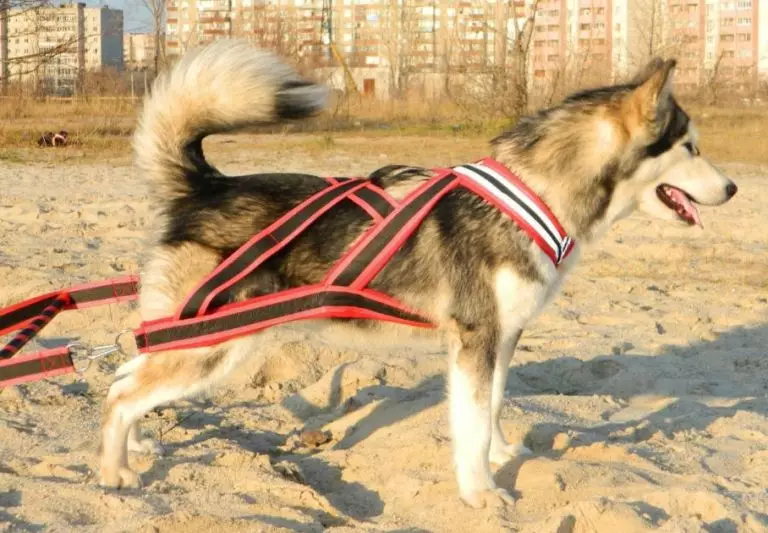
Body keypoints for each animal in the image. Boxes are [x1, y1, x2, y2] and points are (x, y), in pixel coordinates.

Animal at [97, 39, 736, 504]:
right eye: (691, 147)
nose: (731, 188)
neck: (537, 195)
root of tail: (208, 185)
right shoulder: (475, 340)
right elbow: (470, 425)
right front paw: (482, 495)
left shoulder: (501, 339)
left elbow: (493, 407)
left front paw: (501, 458)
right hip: (213, 345)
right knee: (121, 393)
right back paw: (113, 473)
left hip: (190, 337)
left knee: (127, 374)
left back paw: (136, 452)